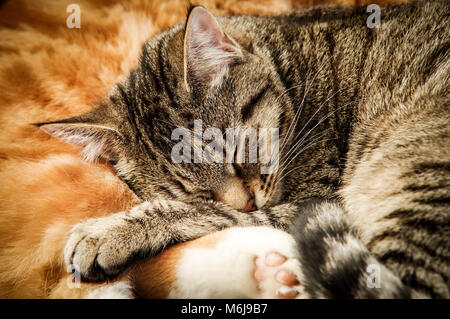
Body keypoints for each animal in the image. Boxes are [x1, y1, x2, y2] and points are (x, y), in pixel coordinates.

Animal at [37, 0, 446, 300]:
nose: (247, 202)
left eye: (237, 153)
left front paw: (108, 232)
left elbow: (216, 216)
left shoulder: (315, 195)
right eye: (197, 191)